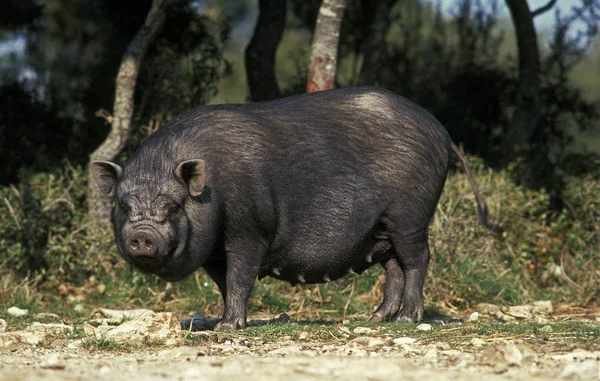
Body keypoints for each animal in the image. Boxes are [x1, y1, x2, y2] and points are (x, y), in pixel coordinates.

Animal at [91, 87, 490, 330]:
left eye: (173, 207)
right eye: (124, 207)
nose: (142, 237)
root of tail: (442, 131)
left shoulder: (250, 229)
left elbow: (241, 276)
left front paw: (228, 328)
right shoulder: (215, 251)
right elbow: (224, 283)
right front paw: (224, 322)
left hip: (410, 215)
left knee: (417, 260)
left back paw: (407, 319)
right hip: (383, 226)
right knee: (393, 266)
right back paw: (374, 319)